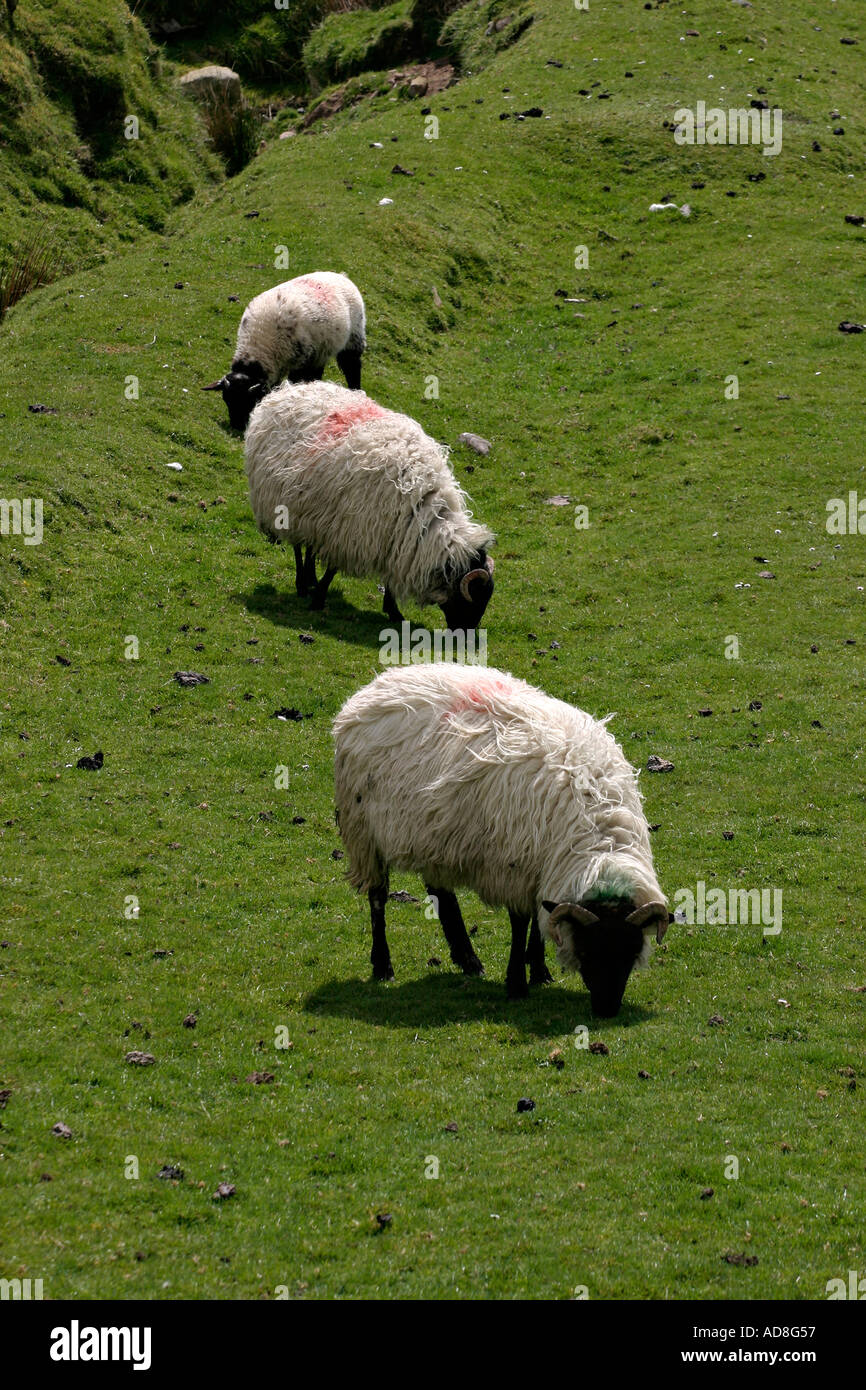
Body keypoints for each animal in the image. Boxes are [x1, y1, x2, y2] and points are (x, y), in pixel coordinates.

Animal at [203, 271, 366, 430]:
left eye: (247, 401)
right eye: (226, 399)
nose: (236, 427)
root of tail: (340, 276)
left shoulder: (300, 361)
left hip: (353, 338)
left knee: (352, 368)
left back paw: (355, 389)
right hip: (321, 352)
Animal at [244, 379, 495, 631]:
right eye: (472, 598)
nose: (466, 635)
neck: (423, 513)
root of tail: (290, 389)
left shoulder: (393, 540)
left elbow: (389, 580)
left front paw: (393, 611)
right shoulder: (349, 529)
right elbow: (333, 569)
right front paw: (318, 599)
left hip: (312, 511)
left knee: (310, 547)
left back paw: (310, 578)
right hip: (287, 506)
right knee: (298, 547)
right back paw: (303, 585)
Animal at [333, 663, 670, 1014]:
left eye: (631, 952)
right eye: (588, 951)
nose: (607, 1010)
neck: (598, 836)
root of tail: (378, 684)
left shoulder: (540, 866)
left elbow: (539, 920)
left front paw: (539, 971)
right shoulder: (514, 864)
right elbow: (520, 923)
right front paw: (517, 982)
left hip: (433, 832)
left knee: (441, 892)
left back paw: (468, 959)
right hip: (364, 832)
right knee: (378, 898)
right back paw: (383, 965)